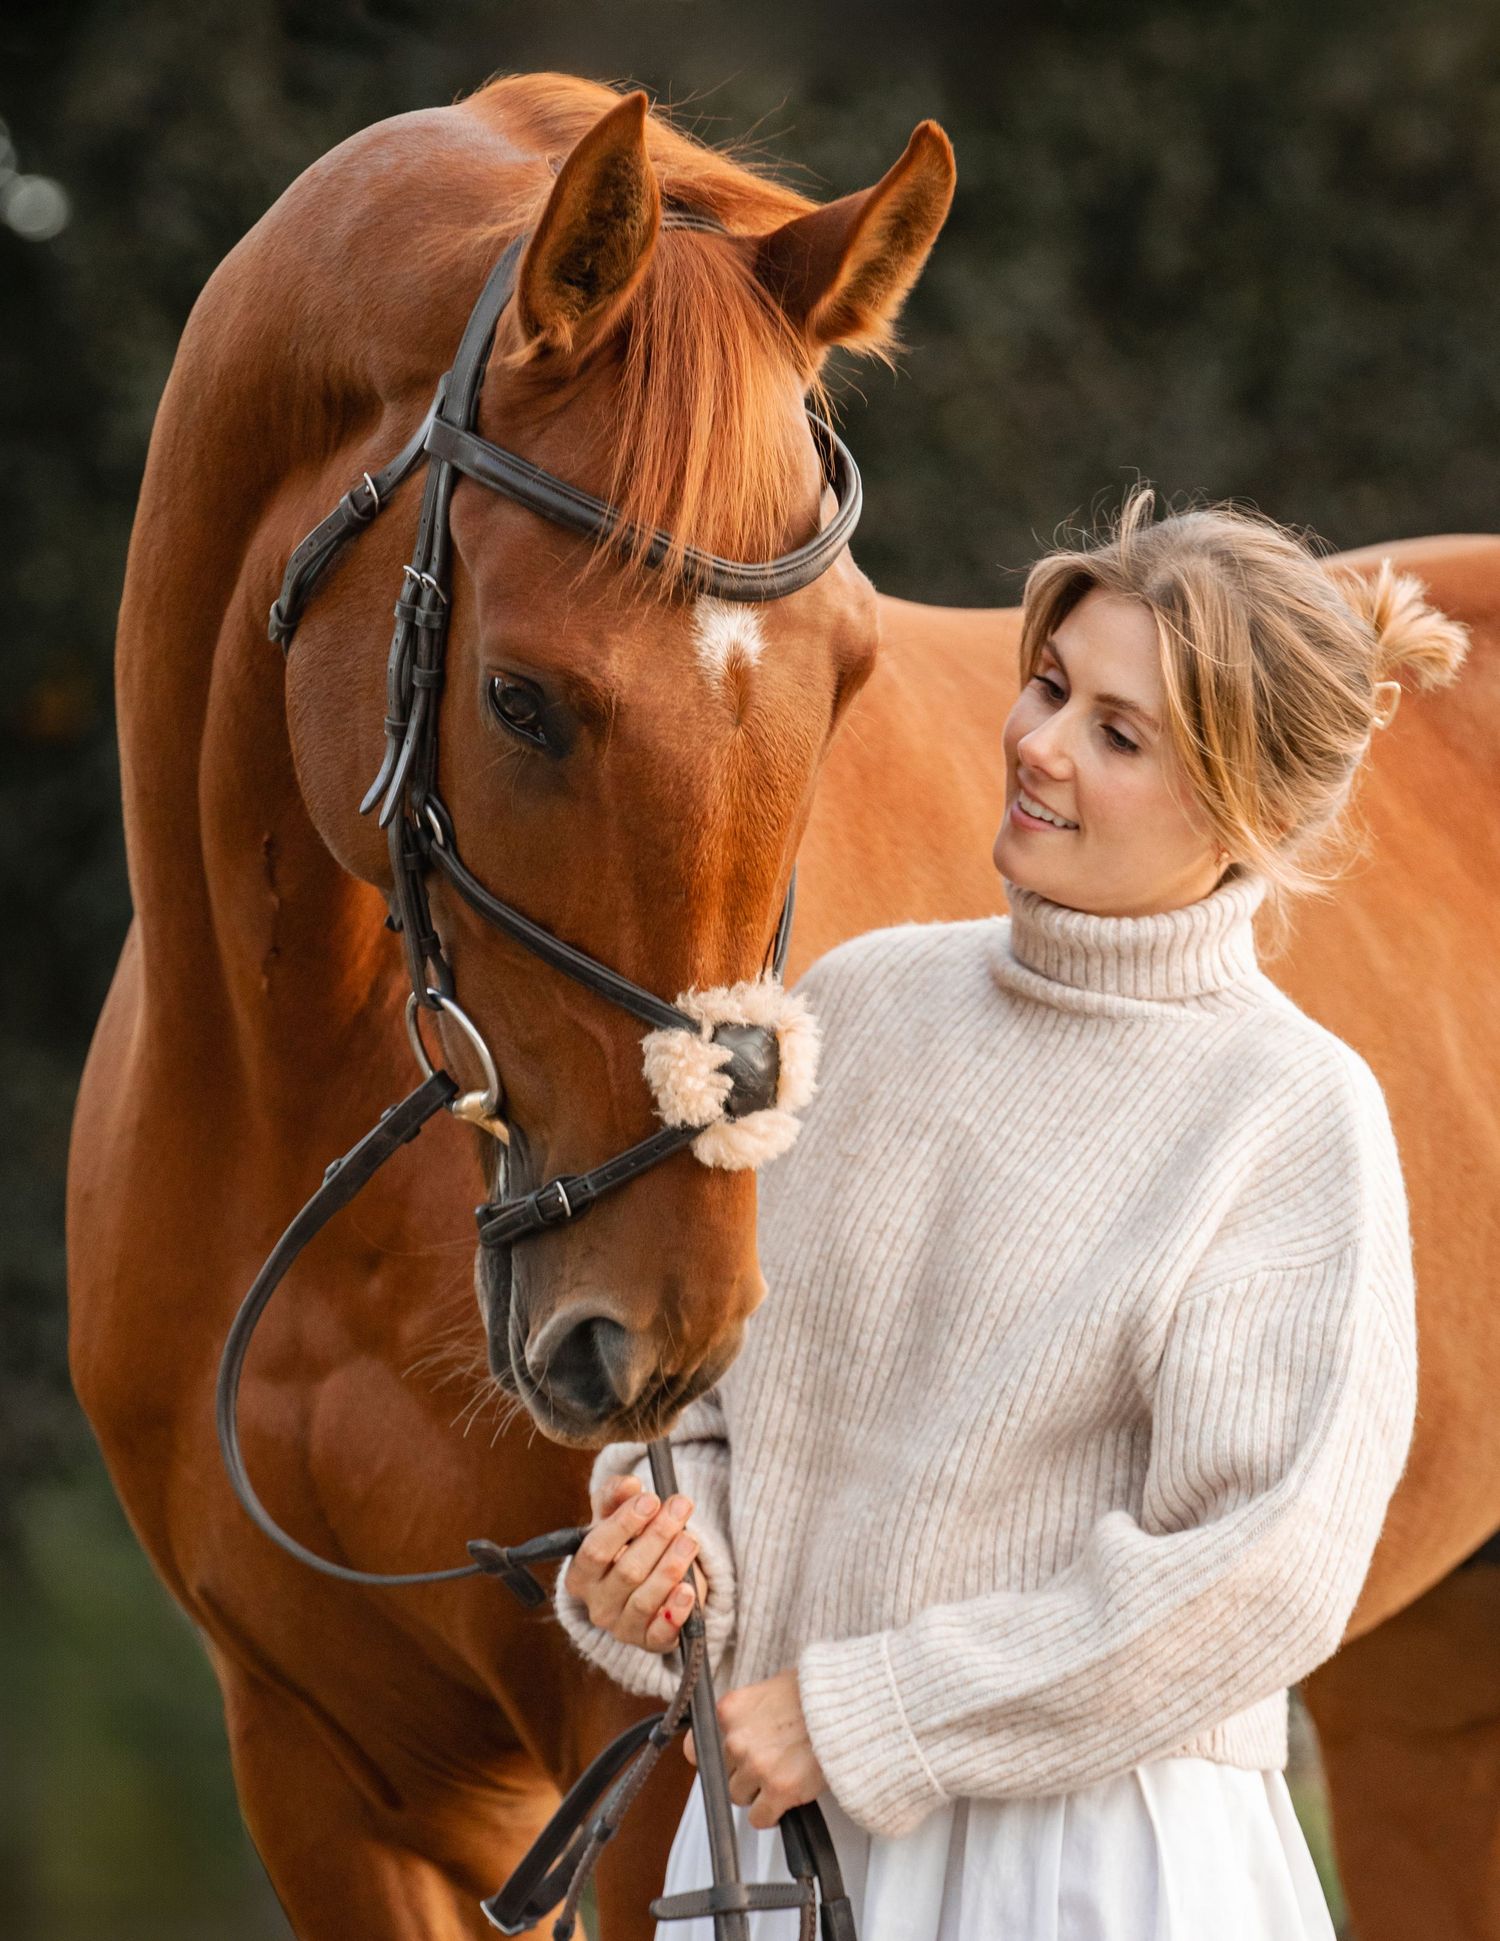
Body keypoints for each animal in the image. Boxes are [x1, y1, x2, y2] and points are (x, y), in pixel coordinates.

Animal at [65, 71, 1500, 1941]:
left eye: (849, 674)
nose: (658, 1339)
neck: (282, 1099)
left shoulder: (661, 1779)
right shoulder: (320, 1777)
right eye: (519, 699)